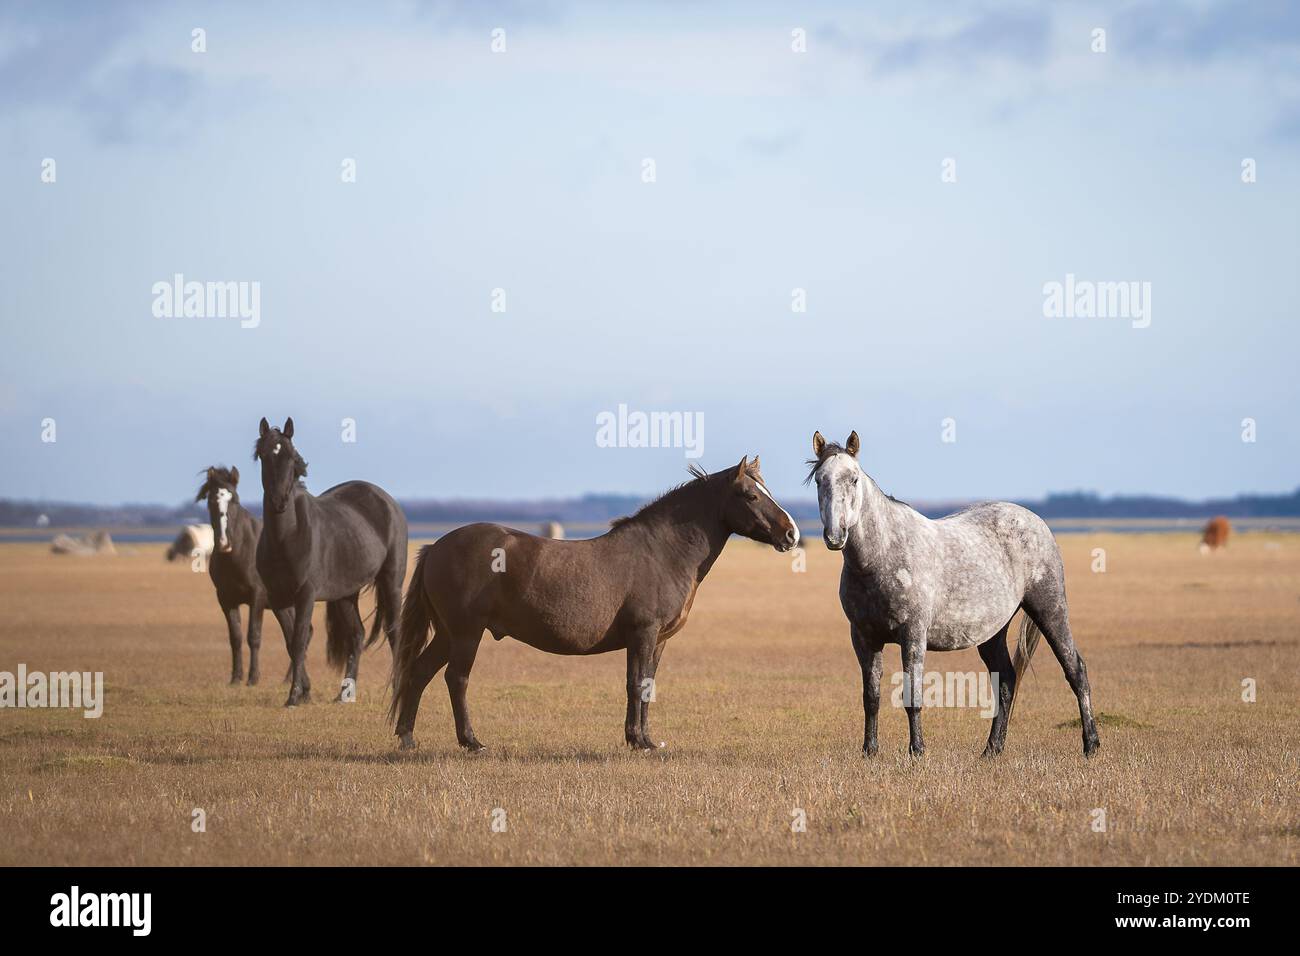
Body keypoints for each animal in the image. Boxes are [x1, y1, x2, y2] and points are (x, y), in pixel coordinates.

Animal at [194, 466, 295, 685]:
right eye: (211, 500)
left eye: (234, 500)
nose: (224, 543)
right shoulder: (226, 599)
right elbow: (236, 638)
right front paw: (236, 678)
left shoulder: (257, 596)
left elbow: (253, 635)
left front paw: (253, 678)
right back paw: (288, 679)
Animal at [253, 418, 408, 706]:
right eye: (263, 455)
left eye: (290, 456)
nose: (279, 501)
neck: (286, 537)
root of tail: (387, 501)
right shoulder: (277, 598)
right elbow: (291, 642)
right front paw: (304, 691)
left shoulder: (306, 595)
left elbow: (300, 640)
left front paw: (294, 696)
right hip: (346, 595)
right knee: (357, 635)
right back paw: (345, 693)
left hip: (391, 583)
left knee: (395, 632)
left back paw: (397, 689)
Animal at [389, 457, 800, 752]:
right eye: (751, 495)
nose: (792, 533)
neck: (662, 552)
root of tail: (436, 546)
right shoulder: (642, 634)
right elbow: (635, 684)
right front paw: (638, 741)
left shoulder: (658, 641)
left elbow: (646, 685)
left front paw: (644, 739)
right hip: (466, 633)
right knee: (455, 679)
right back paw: (471, 742)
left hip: (448, 633)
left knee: (419, 671)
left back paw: (408, 738)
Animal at [807, 431, 1100, 758]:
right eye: (820, 480)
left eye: (854, 479)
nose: (835, 535)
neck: (881, 556)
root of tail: (1038, 523)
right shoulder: (863, 638)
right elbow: (871, 697)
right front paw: (869, 751)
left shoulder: (913, 636)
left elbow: (913, 697)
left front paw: (917, 751)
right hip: (992, 632)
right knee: (1006, 680)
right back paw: (992, 750)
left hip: (1050, 609)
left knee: (1076, 671)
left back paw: (1091, 745)